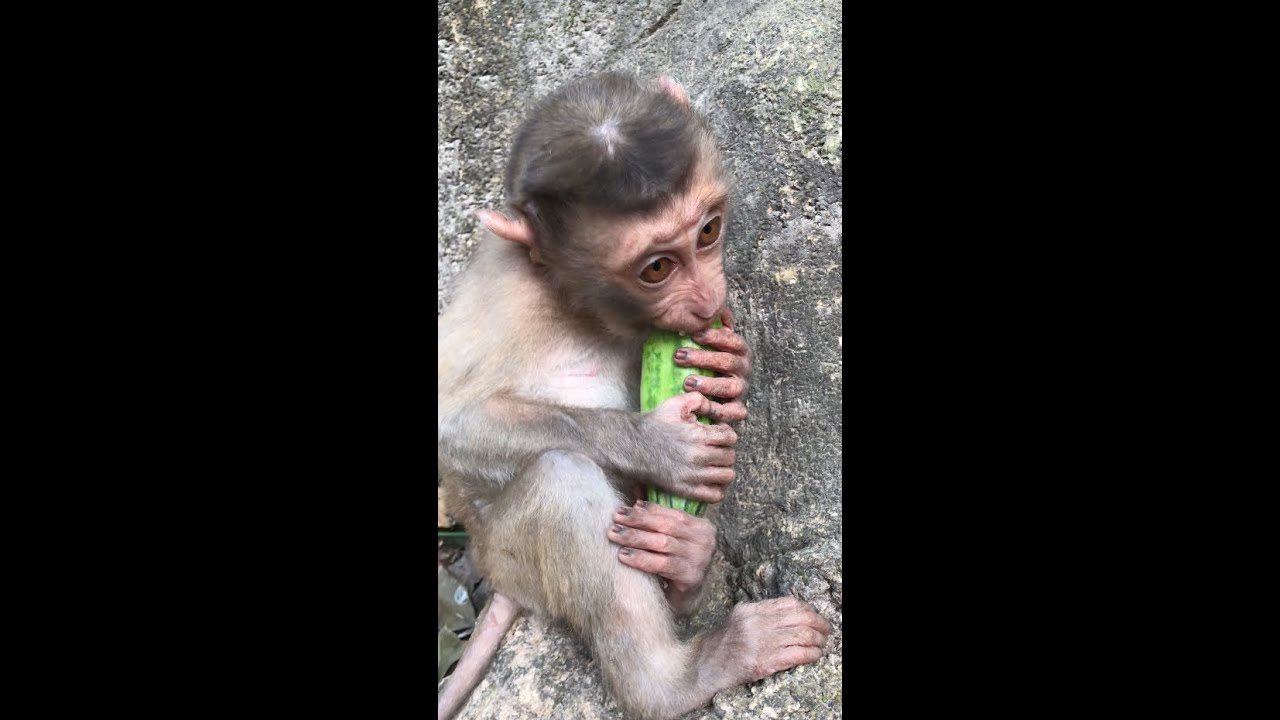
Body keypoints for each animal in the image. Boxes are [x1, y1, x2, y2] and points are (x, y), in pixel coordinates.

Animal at [437, 72, 831, 720]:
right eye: (656, 269)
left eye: (707, 231)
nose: (706, 300)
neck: (583, 301)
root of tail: (497, 580)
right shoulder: (506, 288)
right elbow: (452, 425)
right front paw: (661, 445)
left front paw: (731, 370)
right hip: (507, 554)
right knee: (562, 478)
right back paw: (679, 677)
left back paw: (684, 558)